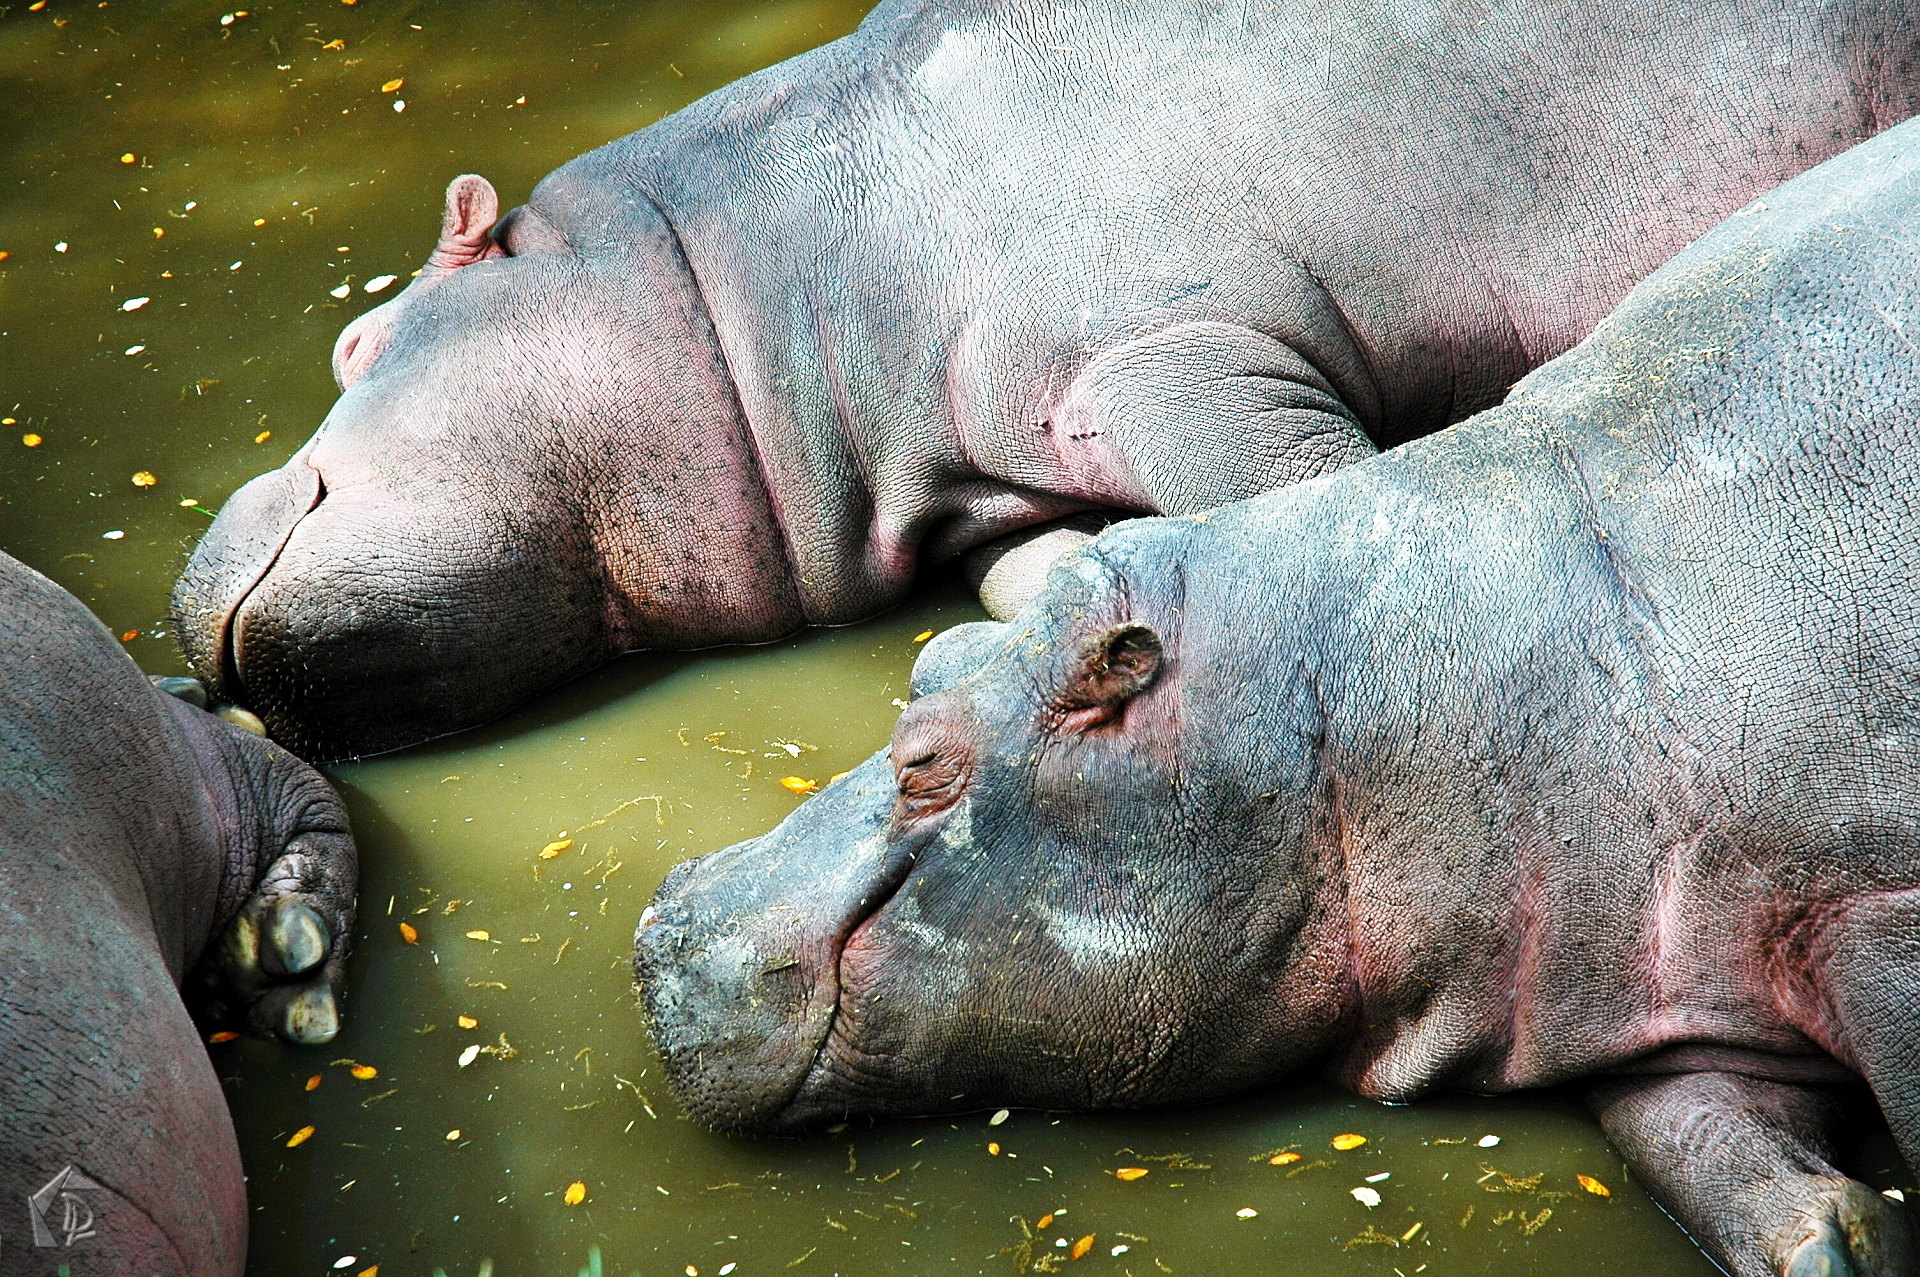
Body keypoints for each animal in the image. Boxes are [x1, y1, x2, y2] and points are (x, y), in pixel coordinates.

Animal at [171, 0, 1920, 762]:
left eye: (354, 342)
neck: (744, 265)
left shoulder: (1183, 353)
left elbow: (1298, 492)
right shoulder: (989, 488)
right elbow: (1040, 570)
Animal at [636, 113, 1920, 1277]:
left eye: (926, 763)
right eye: (939, 646)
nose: (666, 912)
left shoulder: (1872, 909)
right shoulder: (1639, 961)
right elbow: (1703, 1141)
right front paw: (1836, 1238)